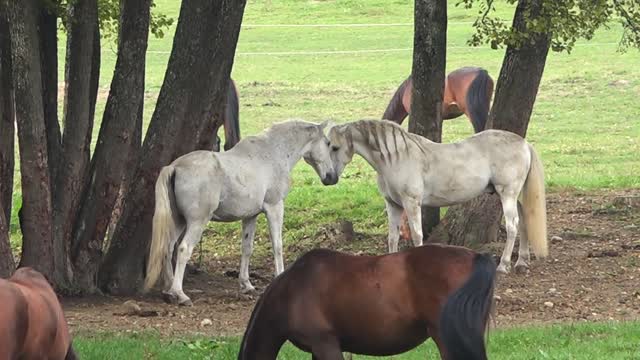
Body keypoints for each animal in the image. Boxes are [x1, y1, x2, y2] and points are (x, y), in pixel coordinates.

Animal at [142, 120, 338, 304]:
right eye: (328, 143)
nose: (332, 177)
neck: (272, 153)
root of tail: (176, 167)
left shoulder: (250, 216)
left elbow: (247, 248)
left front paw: (246, 284)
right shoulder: (275, 207)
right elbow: (277, 246)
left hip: (179, 221)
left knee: (168, 248)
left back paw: (168, 290)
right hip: (197, 222)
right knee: (183, 249)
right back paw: (180, 294)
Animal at [328, 119, 548, 274]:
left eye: (334, 147)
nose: (328, 178)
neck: (397, 157)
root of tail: (524, 143)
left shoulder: (412, 203)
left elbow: (417, 234)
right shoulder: (393, 205)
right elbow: (392, 237)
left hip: (507, 193)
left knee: (512, 226)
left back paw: (503, 265)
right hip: (515, 196)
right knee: (524, 221)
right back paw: (521, 262)